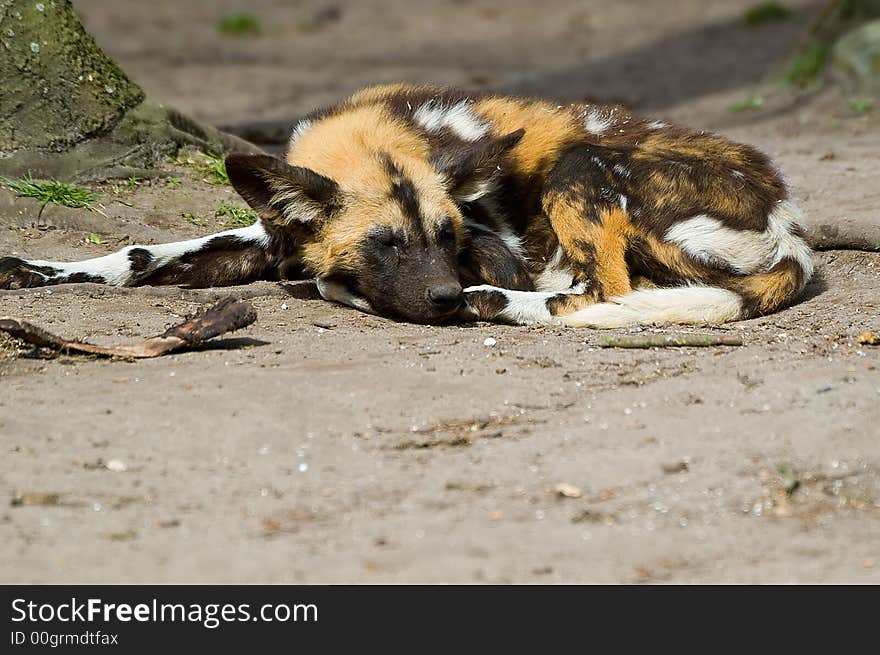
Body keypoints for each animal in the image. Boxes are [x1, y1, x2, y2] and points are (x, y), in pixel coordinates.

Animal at [0, 83, 812, 326]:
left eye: (447, 237)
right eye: (386, 243)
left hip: (580, 169)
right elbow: (140, 254)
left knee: (596, 294)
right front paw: (36, 271)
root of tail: (790, 225)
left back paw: (493, 305)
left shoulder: (495, 244)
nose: (445, 296)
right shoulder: (269, 233)